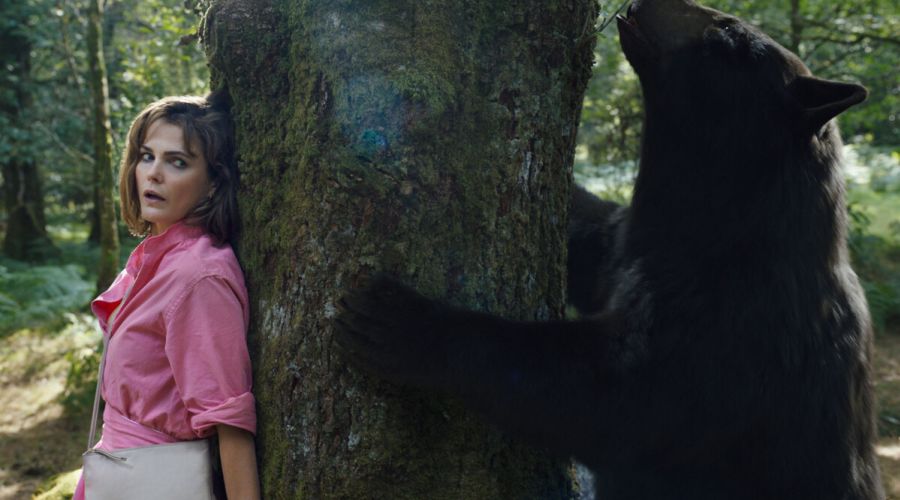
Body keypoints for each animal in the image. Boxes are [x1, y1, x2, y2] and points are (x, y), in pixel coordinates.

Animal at [334, 0, 884, 498]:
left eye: (728, 37)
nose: (642, 1)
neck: (718, 229)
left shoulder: (735, 334)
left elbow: (610, 400)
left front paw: (406, 323)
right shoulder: (626, 247)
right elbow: (589, 237)